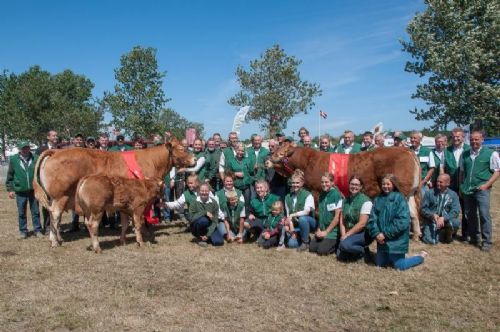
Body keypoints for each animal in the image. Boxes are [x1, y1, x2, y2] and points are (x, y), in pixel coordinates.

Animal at [33, 139, 195, 248]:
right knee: (55, 217)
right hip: (60, 196)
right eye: (182, 148)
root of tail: (56, 151)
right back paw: (55, 241)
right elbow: (141, 220)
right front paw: (145, 235)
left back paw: (55, 239)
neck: (153, 162)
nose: (194, 159)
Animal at [270, 144, 422, 237]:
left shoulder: (316, 191)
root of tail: (406, 150)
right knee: (414, 213)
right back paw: (416, 235)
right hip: (410, 193)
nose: (268, 160)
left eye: (280, 153)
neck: (308, 162)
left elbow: (318, 212)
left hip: (401, 191)